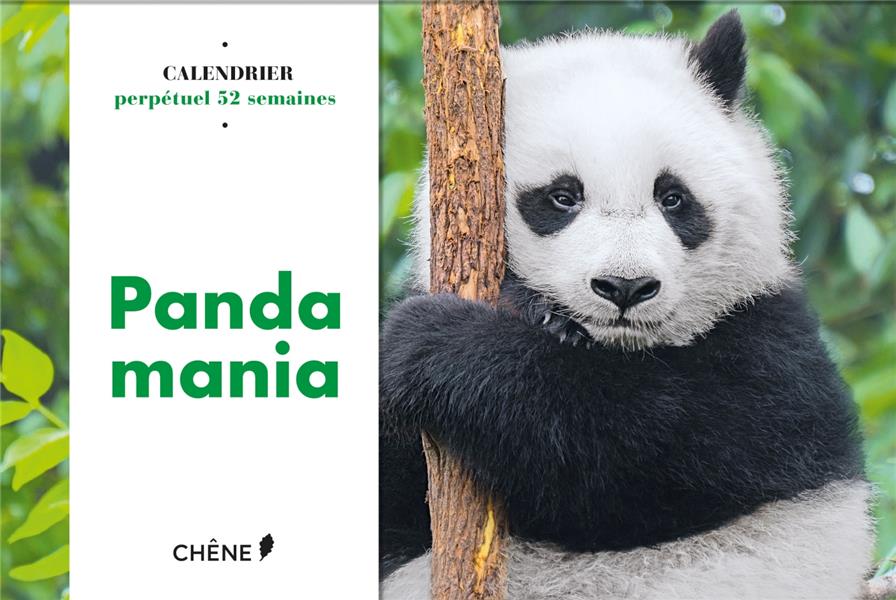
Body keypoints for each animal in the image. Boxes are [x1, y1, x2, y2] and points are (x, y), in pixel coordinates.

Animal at [380, 10, 874, 600]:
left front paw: (436, 340)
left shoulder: (770, 351)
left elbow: (640, 455)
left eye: (673, 197)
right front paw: (532, 308)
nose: (624, 286)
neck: (618, 350)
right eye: (562, 197)